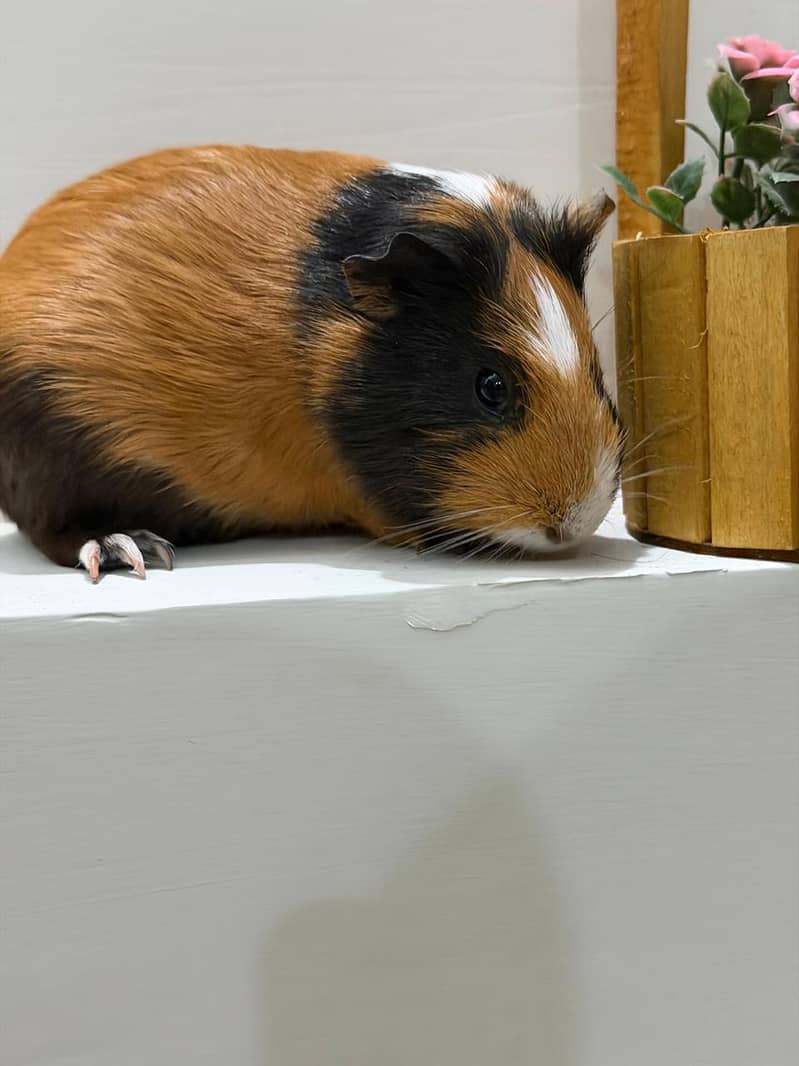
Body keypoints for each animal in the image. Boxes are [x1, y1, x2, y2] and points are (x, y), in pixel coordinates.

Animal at [0, 145, 621, 581]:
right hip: (53, 461)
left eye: (597, 373)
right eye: (490, 385)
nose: (575, 523)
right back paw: (133, 550)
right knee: (58, 532)